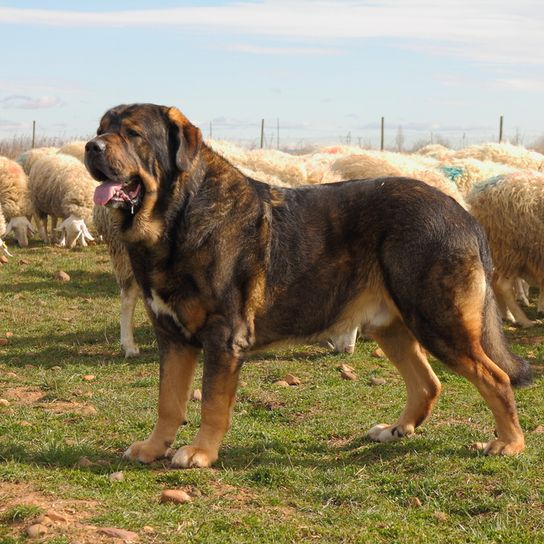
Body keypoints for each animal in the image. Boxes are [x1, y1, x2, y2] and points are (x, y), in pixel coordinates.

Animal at [86, 103, 532, 468]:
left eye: (133, 134)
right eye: (102, 128)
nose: (91, 146)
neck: (177, 218)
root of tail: (462, 214)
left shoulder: (224, 336)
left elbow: (211, 402)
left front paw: (200, 452)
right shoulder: (172, 336)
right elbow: (168, 400)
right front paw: (154, 447)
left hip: (439, 321)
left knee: (495, 378)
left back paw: (509, 443)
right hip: (393, 326)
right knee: (428, 383)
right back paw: (395, 430)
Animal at [466, 172, 544, 328]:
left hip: (499, 250)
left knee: (493, 282)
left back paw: (506, 315)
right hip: (511, 249)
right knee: (503, 286)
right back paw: (523, 320)